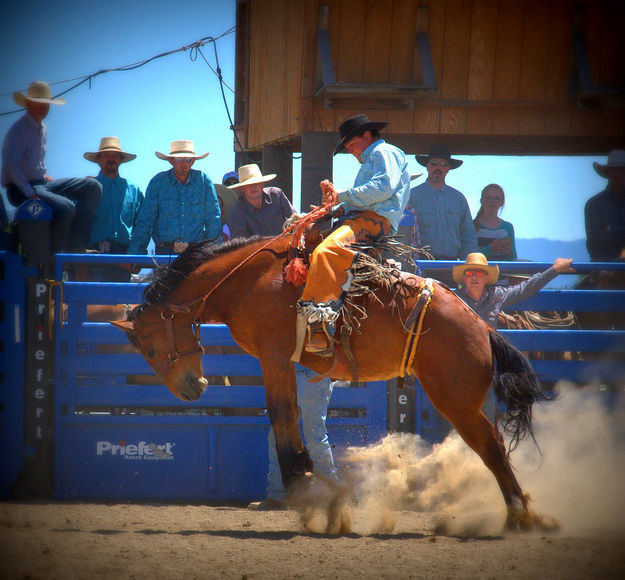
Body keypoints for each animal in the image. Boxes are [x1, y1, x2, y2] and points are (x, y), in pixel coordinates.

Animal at [112, 234, 556, 532]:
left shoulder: (273, 357)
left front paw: (304, 490)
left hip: (456, 400)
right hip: (467, 401)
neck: (251, 281)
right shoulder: (284, 363)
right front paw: (314, 483)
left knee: (491, 447)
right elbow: (291, 417)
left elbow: (280, 413)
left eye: (151, 348)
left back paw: (518, 516)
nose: (191, 388)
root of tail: (482, 327)